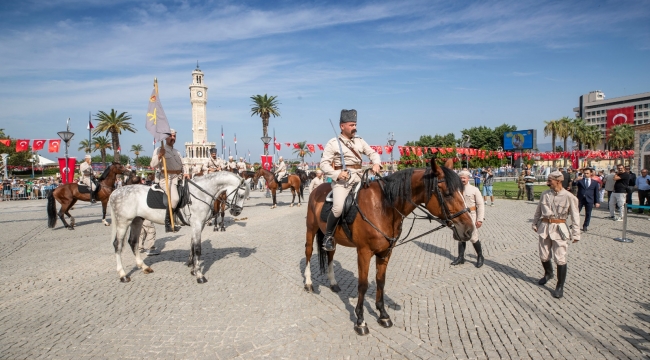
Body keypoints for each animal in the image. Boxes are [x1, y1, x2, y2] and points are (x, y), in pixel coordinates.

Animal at [107, 172, 249, 284]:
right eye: (241, 195)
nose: (237, 212)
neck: (200, 193)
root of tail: (115, 192)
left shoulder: (198, 225)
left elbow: (192, 246)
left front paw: (193, 269)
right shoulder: (197, 224)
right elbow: (197, 249)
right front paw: (199, 275)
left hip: (137, 220)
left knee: (133, 242)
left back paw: (144, 267)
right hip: (123, 223)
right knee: (118, 245)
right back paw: (123, 275)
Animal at [302, 159, 474, 336]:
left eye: (462, 191)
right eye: (447, 193)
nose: (469, 230)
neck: (383, 207)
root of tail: (318, 188)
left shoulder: (386, 252)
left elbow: (381, 281)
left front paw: (383, 315)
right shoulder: (363, 252)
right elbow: (363, 285)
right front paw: (360, 321)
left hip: (332, 238)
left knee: (330, 254)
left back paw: (333, 283)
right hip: (311, 229)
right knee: (308, 252)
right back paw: (308, 283)